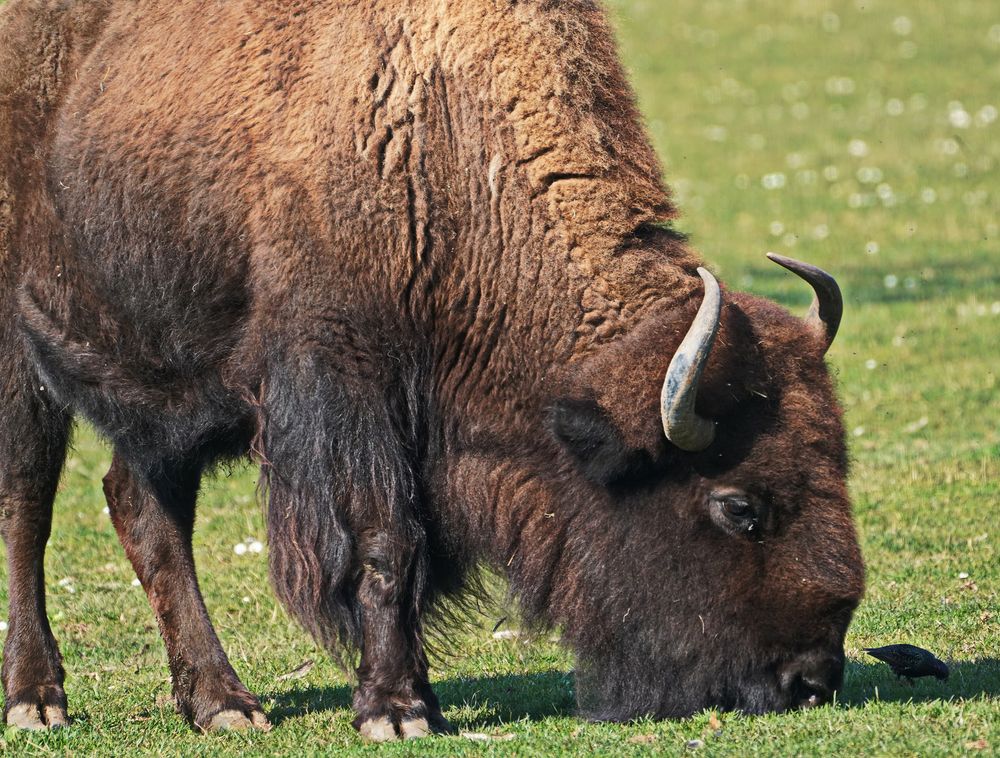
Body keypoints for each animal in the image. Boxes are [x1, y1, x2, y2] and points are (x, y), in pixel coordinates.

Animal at [0, 0, 864, 737]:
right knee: (28, 504)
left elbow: (409, 550)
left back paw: (223, 705)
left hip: (162, 392)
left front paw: (415, 697)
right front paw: (396, 710)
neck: (442, 143)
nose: (810, 680)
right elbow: (384, 545)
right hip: (21, 354)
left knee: (143, 508)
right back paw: (39, 701)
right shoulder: (350, 392)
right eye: (740, 507)